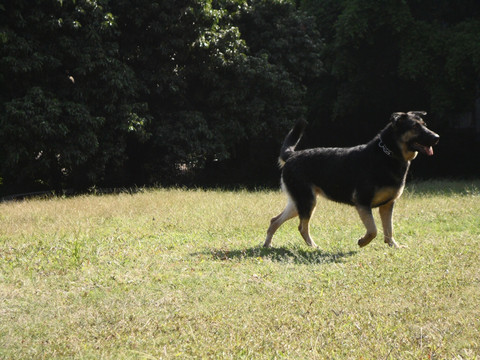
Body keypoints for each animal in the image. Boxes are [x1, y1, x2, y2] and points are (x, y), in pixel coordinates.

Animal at [264, 111, 440, 249]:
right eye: (415, 127)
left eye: (424, 124)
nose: (437, 137)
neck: (389, 154)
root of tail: (292, 155)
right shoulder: (362, 202)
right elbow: (373, 230)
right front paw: (363, 242)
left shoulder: (387, 205)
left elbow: (389, 230)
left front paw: (393, 246)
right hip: (307, 202)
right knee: (301, 226)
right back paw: (313, 246)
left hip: (298, 204)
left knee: (274, 220)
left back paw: (267, 245)